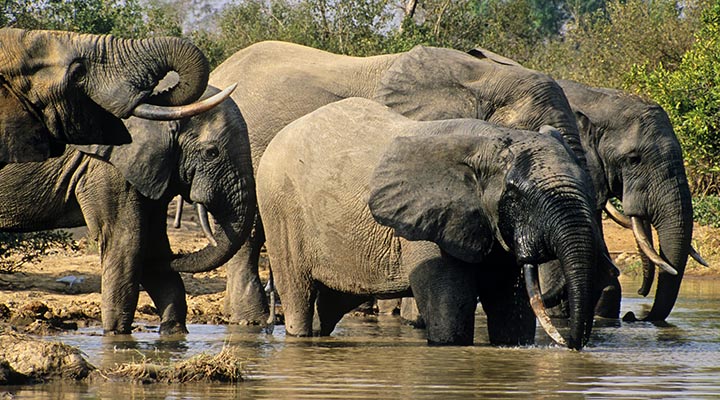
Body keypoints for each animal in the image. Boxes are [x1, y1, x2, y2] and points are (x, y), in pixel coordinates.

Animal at [0, 89, 256, 336]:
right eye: (211, 153)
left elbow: (152, 244)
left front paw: (173, 333)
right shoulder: (107, 167)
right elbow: (128, 242)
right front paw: (116, 335)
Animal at [256, 97, 600, 350]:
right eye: (514, 193)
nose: (567, 343)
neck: (486, 142)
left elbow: (509, 311)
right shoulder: (427, 223)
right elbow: (450, 316)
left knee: (327, 307)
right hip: (279, 209)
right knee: (299, 296)